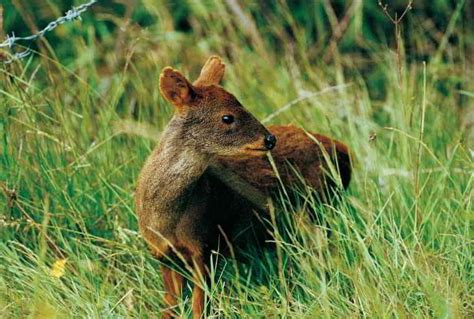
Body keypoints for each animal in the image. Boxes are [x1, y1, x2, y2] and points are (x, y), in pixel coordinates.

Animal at [135, 56, 350, 318]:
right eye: (227, 117)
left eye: (242, 104)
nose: (269, 139)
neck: (166, 218)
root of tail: (343, 150)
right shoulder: (163, 254)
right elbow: (171, 307)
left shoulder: (204, 244)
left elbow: (199, 307)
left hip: (315, 211)